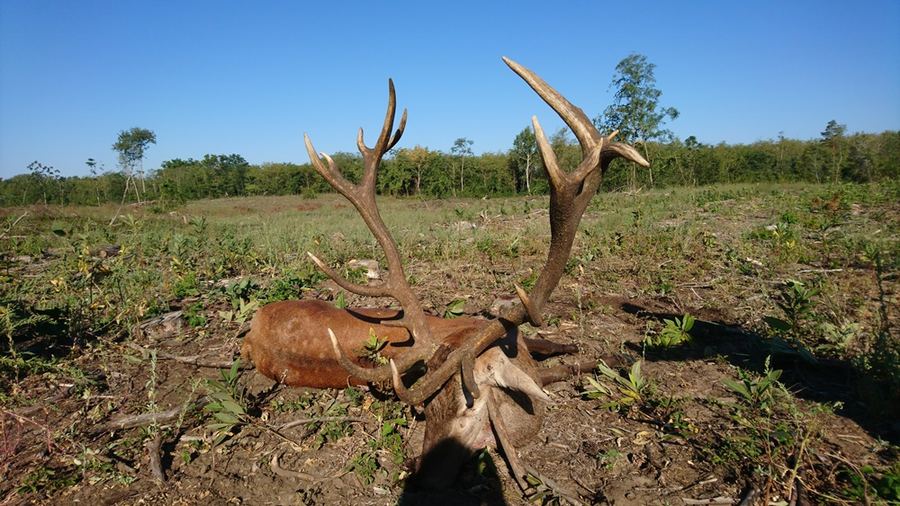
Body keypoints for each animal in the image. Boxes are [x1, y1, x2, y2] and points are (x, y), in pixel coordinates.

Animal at [241, 56, 649, 491]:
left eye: (470, 409)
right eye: (428, 411)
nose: (421, 482)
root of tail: (250, 338)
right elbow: (564, 361)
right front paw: (608, 356)